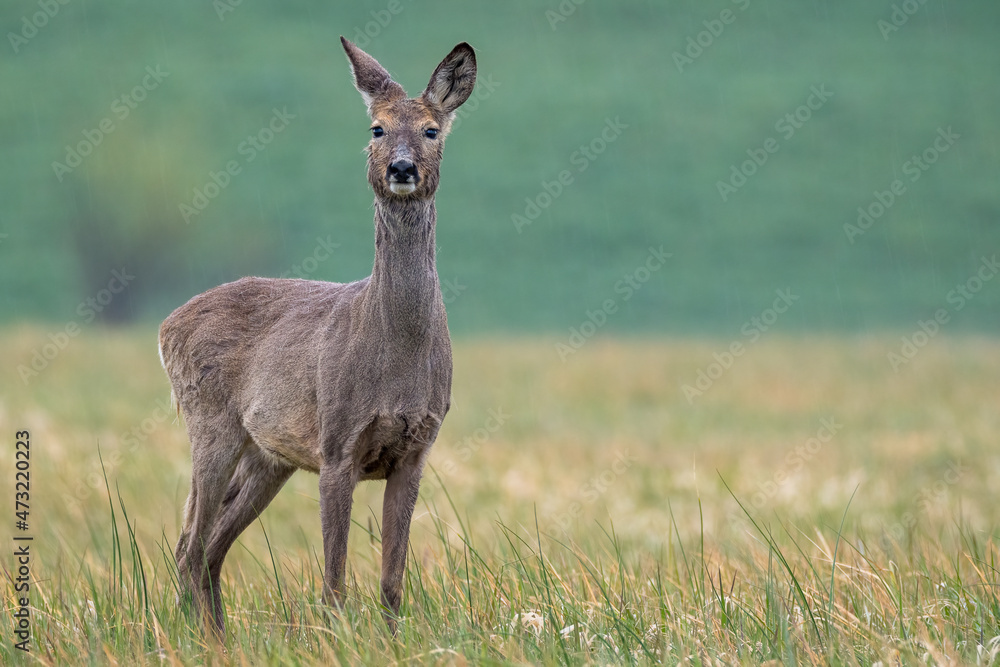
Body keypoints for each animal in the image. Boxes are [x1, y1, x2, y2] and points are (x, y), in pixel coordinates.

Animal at [157, 37, 476, 636]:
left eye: (431, 130)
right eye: (376, 127)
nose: (401, 167)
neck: (397, 358)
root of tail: (166, 326)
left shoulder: (417, 448)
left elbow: (392, 581)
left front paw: (393, 642)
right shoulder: (336, 442)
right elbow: (333, 579)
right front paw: (335, 640)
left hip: (269, 456)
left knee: (209, 547)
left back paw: (218, 638)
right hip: (209, 422)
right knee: (189, 544)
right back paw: (199, 641)